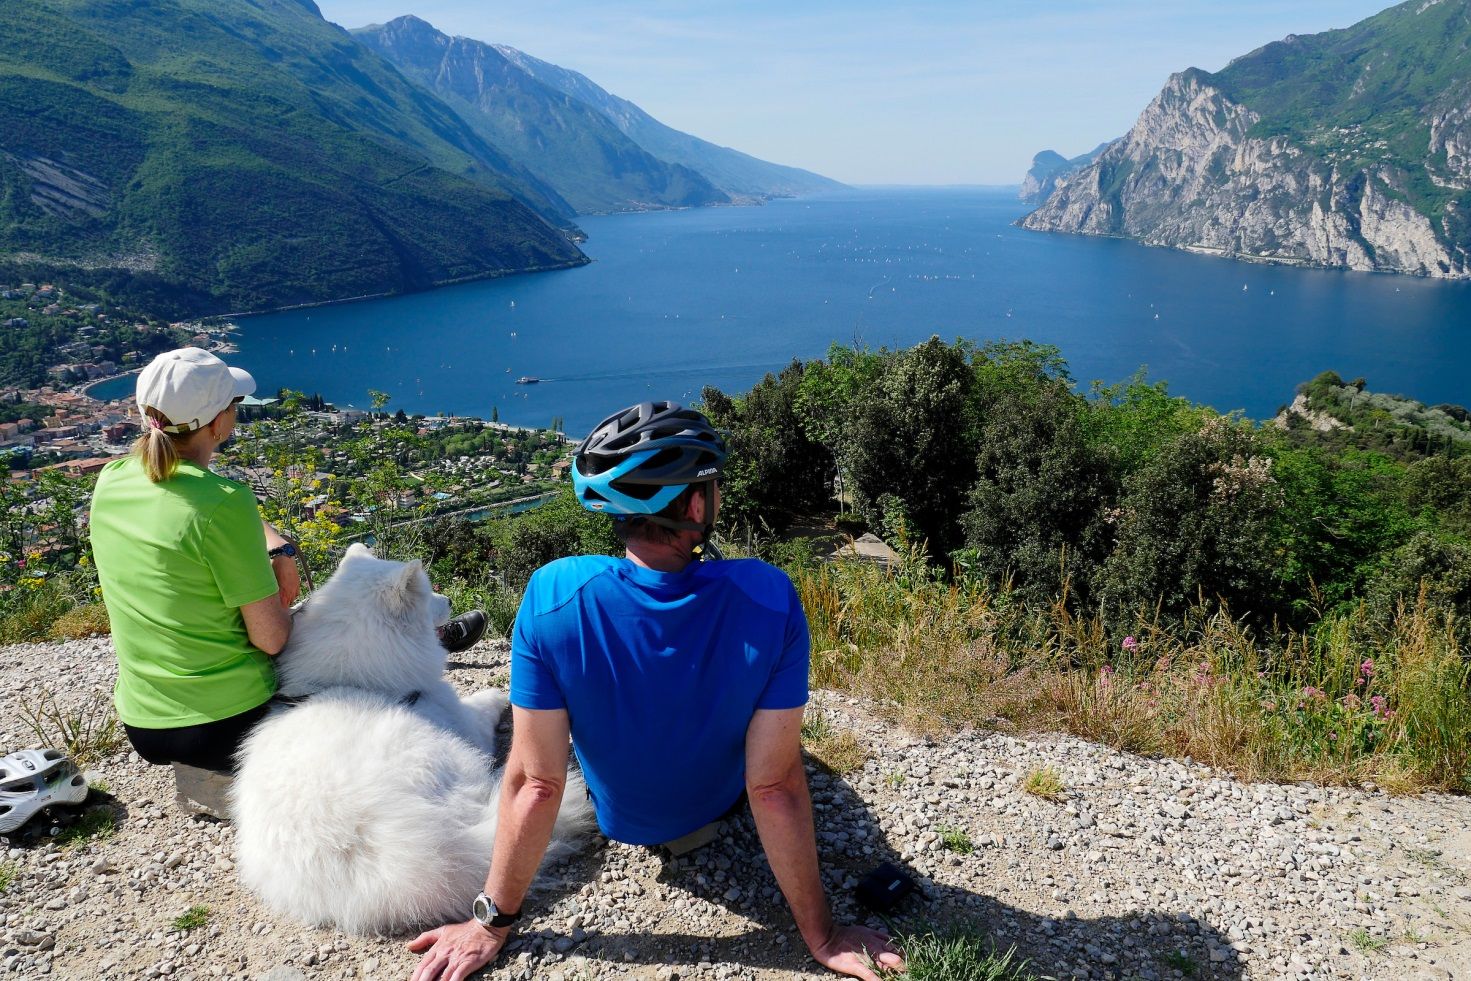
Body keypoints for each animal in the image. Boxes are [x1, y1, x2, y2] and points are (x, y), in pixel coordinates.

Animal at [232, 544, 594, 935]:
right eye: (429, 593)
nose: (449, 599)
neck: (354, 677)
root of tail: (399, 855)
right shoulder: (461, 719)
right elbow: (481, 702)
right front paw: (498, 695)